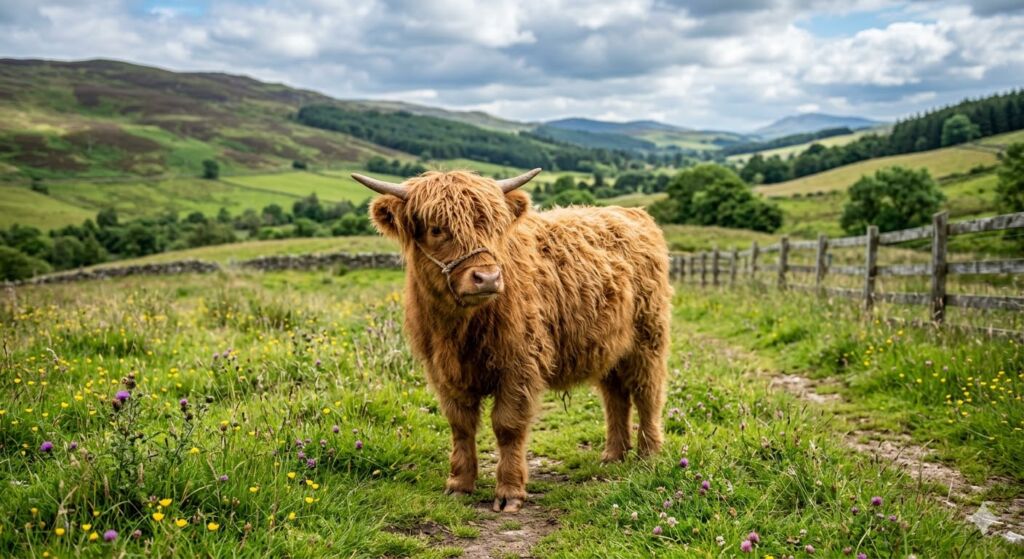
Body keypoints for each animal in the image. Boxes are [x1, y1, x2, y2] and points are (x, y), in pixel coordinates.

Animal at [352, 168, 671, 513]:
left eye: (493, 227)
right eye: (437, 229)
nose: (488, 278)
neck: (459, 330)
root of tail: (631, 213)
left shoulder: (519, 367)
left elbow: (507, 426)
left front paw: (509, 492)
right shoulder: (444, 373)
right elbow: (460, 425)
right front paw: (459, 484)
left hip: (648, 339)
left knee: (647, 393)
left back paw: (648, 455)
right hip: (609, 348)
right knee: (615, 398)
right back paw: (613, 455)